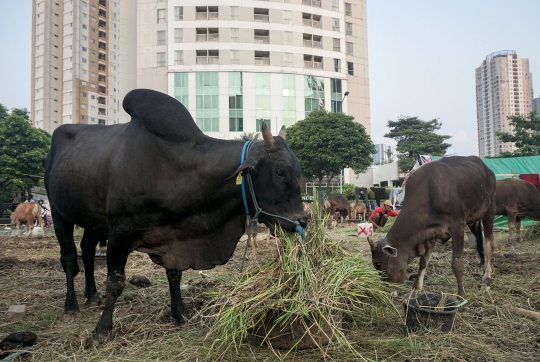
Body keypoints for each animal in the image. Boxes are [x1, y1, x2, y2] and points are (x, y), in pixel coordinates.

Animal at [45, 88, 308, 342]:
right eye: (279, 171)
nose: (303, 220)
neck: (178, 170)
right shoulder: (120, 232)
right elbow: (115, 282)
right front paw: (102, 330)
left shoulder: (174, 236)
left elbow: (175, 276)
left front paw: (180, 313)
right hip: (58, 212)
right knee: (69, 257)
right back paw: (71, 305)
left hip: (92, 220)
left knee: (87, 252)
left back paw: (92, 295)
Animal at [364, 154, 496, 296]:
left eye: (378, 264)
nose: (387, 291)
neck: (428, 191)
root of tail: (487, 169)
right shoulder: (431, 231)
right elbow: (423, 261)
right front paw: (417, 286)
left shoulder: (458, 225)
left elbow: (457, 262)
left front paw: (461, 293)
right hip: (474, 219)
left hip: (489, 210)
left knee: (488, 244)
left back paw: (487, 279)